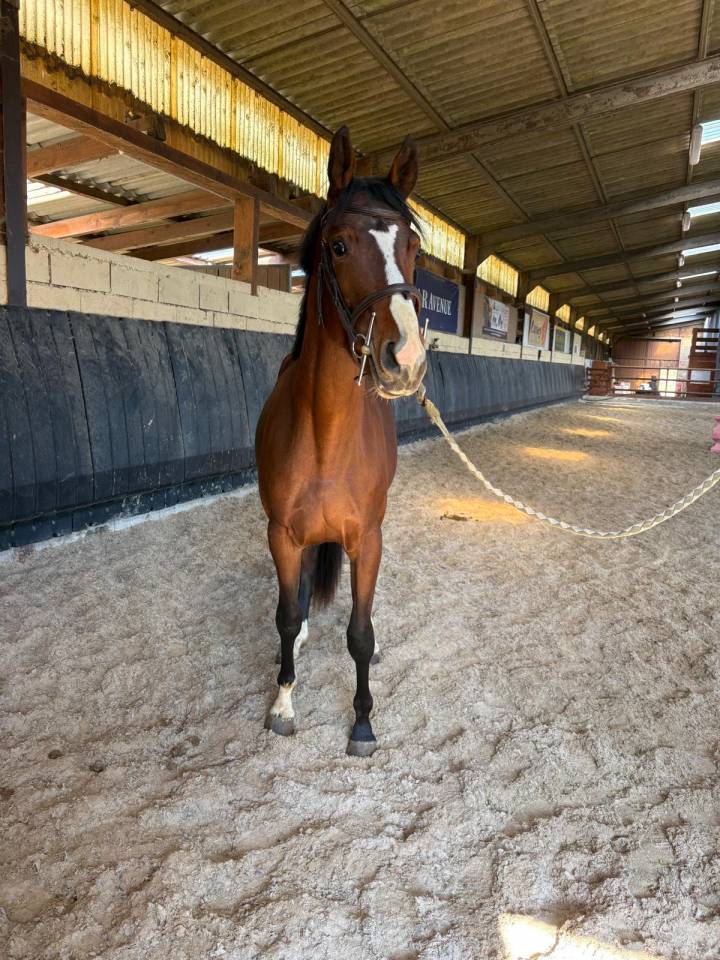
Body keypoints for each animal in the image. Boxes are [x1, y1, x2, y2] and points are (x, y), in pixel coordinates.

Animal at [255, 125, 427, 757]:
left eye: (413, 248)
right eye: (339, 246)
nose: (405, 360)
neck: (327, 440)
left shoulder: (368, 540)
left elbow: (359, 630)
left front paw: (362, 722)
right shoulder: (282, 535)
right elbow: (284, 615)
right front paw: (282, 703)